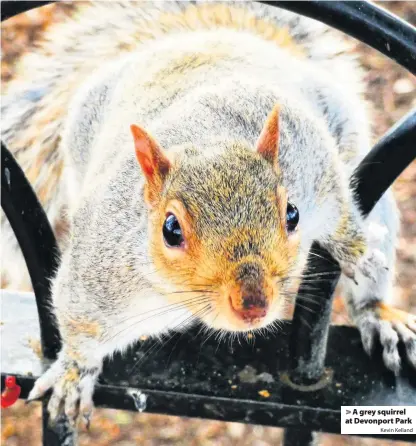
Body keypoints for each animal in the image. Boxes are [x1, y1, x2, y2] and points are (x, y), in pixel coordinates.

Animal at [0, 0, 416, 428]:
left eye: (292, 214)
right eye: (170, 230)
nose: (253, 304)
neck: (207, 138)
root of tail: (199, 38)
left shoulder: (311, 160)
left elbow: (338, 207)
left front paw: (358, 251)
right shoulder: (98, 273)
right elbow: (78, 320)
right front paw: (73, 372)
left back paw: (379, 315)